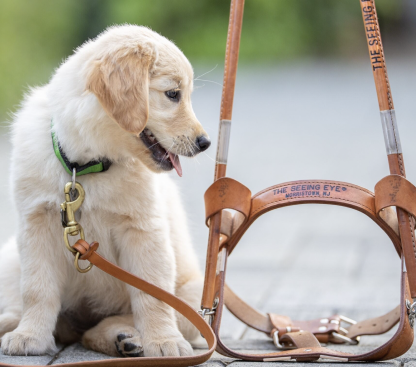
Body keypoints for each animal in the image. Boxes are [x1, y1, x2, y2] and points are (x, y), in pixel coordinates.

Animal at [0, 25, 211, 360]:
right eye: (173, 94)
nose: (205, 143)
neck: (87, 165)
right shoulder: (35, 224)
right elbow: (36, 288)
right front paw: (30, 335)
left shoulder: (143, 229)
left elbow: (153, 295)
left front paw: (164, 341)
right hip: (9, 260)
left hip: (195, 296)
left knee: (102, 327)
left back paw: (124, 337)